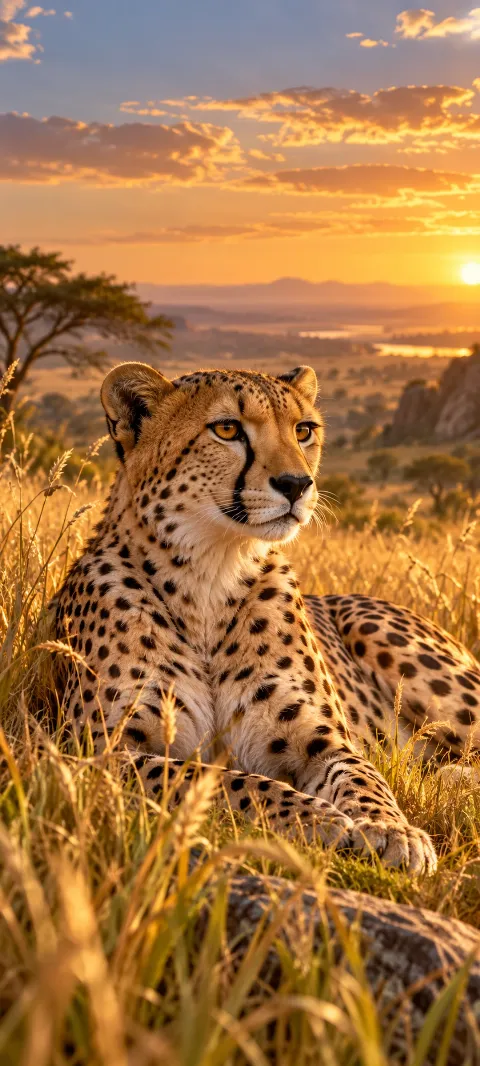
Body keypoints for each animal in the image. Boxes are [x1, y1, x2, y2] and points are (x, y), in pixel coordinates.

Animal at [54, 361, 480, 875]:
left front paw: (391, 828)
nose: (297, 484)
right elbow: (217, 780)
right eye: (227, 429)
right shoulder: (97, 752)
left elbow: (362, 776)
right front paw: (317, 817)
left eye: (303, 430)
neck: (211, 575)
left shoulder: (324, 740)